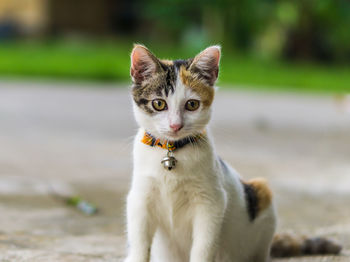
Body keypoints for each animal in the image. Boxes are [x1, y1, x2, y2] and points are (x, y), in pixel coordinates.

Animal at [123, 44, 342, 260]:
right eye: (159, 103)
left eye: (192, 104)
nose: (175, 125)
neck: (172, 150)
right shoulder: (140, 199)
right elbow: (140, 242)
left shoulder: (211, 202)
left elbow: (203, 246)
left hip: (261, 195)